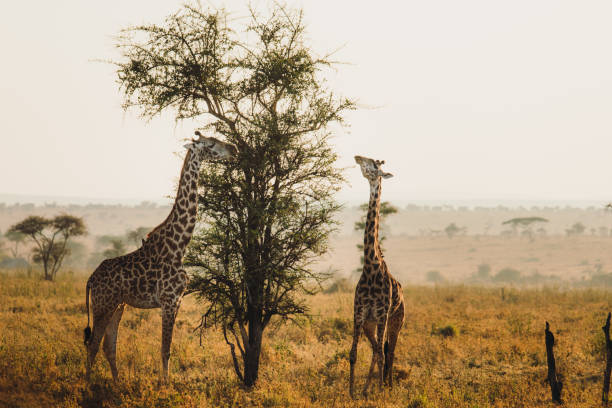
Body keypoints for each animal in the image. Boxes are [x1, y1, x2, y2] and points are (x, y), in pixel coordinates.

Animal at [81, 132, 234, 380]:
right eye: (210, 143)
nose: (233, 149)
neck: (179, 246)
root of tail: (91, 279)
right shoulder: (169, 300)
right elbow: (165, 349)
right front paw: (165, 384)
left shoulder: (178, 301)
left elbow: (166, 349)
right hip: (103, 304)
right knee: (93, 344)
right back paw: (87, 382)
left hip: (118, 305)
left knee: (107, 345)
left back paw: (117, 382)